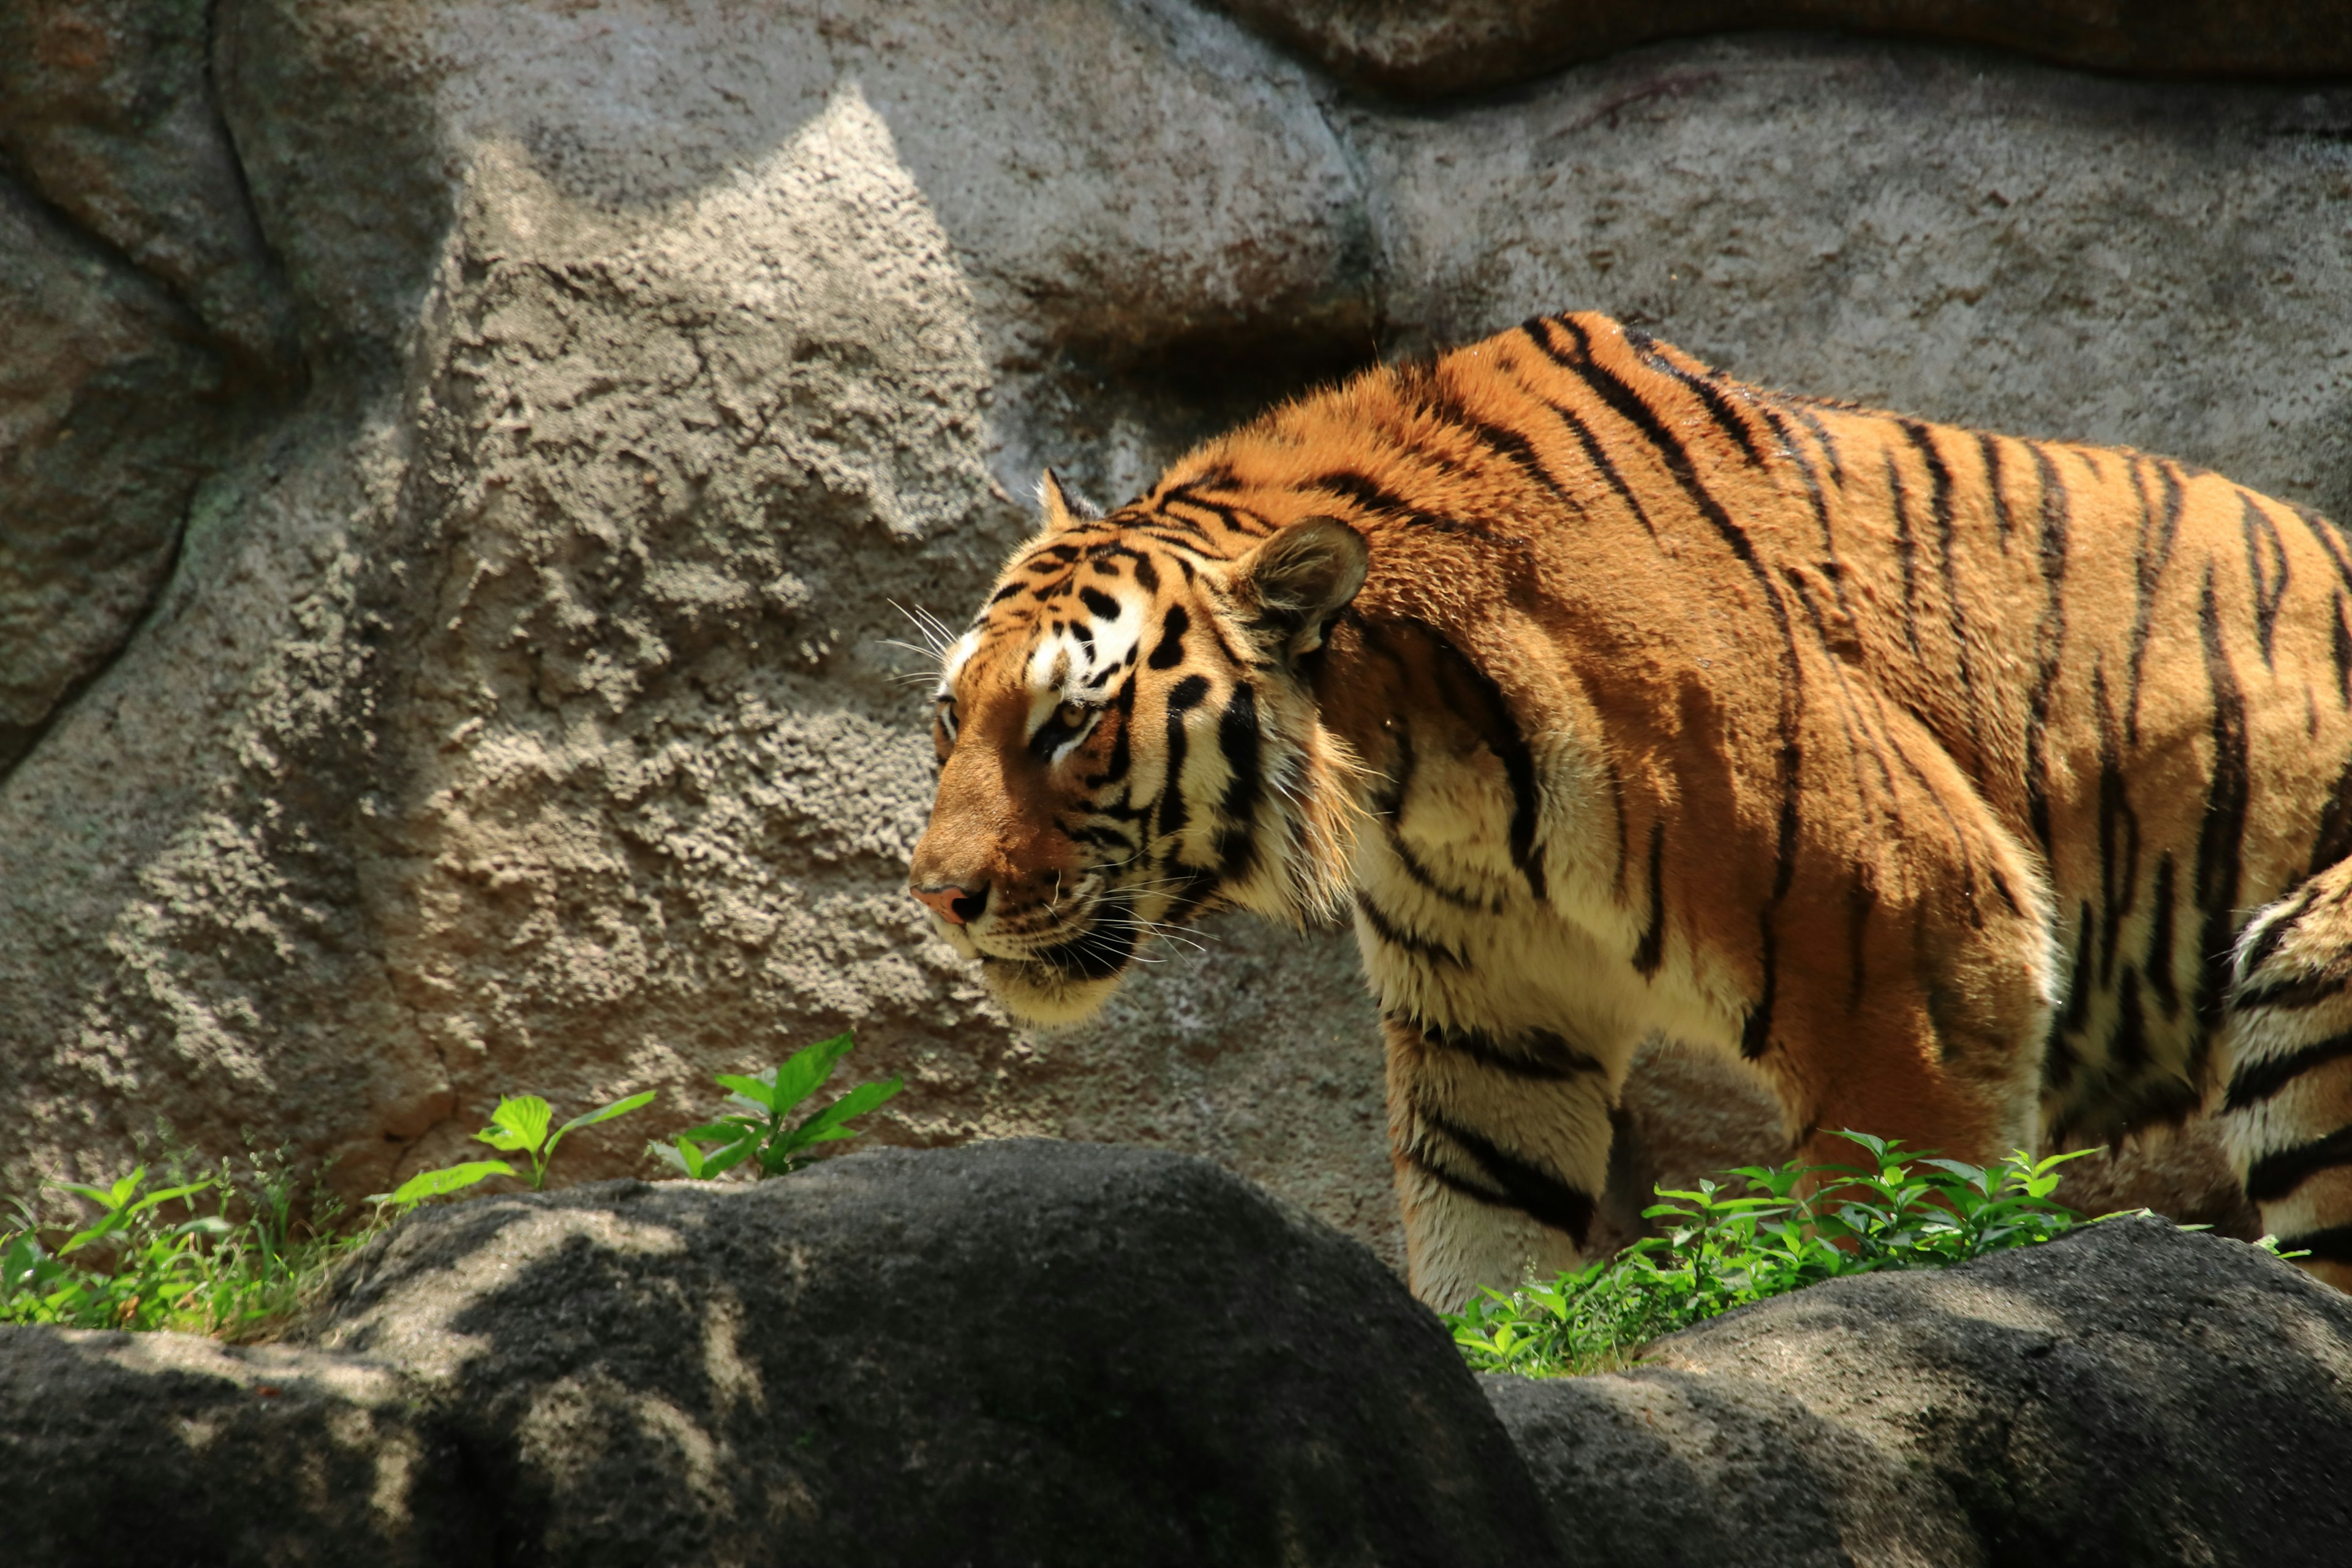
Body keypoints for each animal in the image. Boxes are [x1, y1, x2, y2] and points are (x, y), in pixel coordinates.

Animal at [908, 310, 2352, 1316]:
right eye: (949, 717)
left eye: (1069, 724)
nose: (936, 896)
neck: (1417, 757)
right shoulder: (1491, 1016)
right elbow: (1484, 1250)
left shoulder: (1920, 944)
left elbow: (1889, 1227)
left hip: (2301, 984)